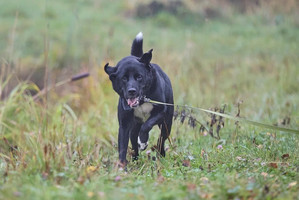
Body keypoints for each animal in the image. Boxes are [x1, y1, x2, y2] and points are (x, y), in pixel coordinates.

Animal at [105, 32, 175, 165]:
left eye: (139, 77)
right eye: (124, 78)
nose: (131, 91)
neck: (142, 101)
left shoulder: (160, 111)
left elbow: (147, 125)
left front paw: (143, 141)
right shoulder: (124, 124)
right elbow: (123, 145)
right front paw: (122, 166)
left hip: (166, 124)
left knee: (161, 139)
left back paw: (160, 155)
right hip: (134, 127)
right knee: (133, 141)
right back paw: (135, 159)